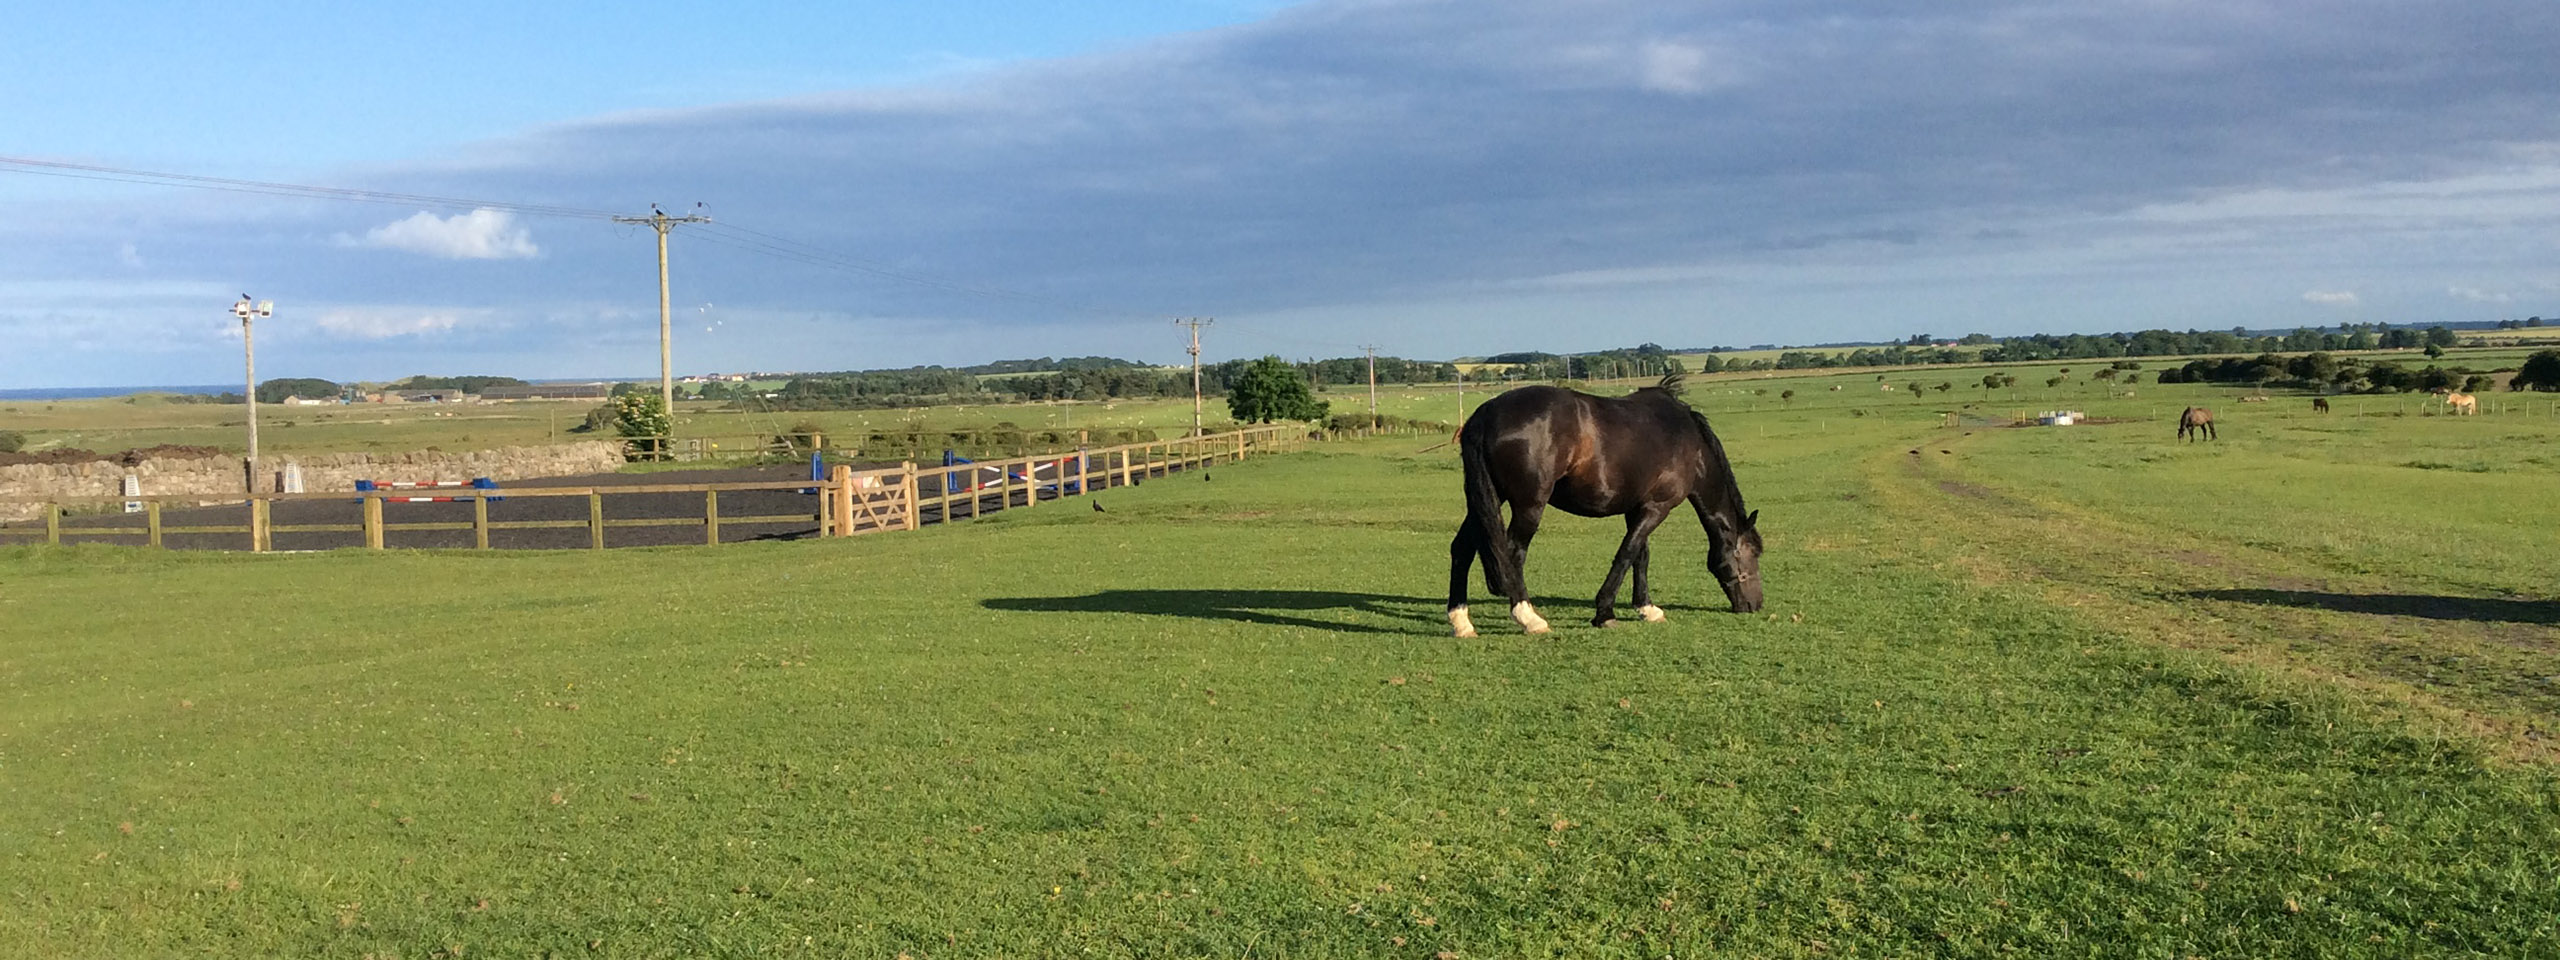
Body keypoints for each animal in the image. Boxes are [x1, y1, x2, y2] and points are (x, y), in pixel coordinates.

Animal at [1443, 376, 1761, 640]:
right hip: (1528, 505)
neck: (1689, 443)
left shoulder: (1637, 507)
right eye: (1755, 554)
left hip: (1487, 500)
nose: (1756, 605)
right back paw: (1529, 618)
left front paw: (1646, 608)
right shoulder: (1657, 507)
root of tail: (1487, 413)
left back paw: (1461, 622)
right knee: (1514, 554)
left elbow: (1641, 556)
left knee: (1462, 549)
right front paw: (1605, 612)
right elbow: (1626, 554)